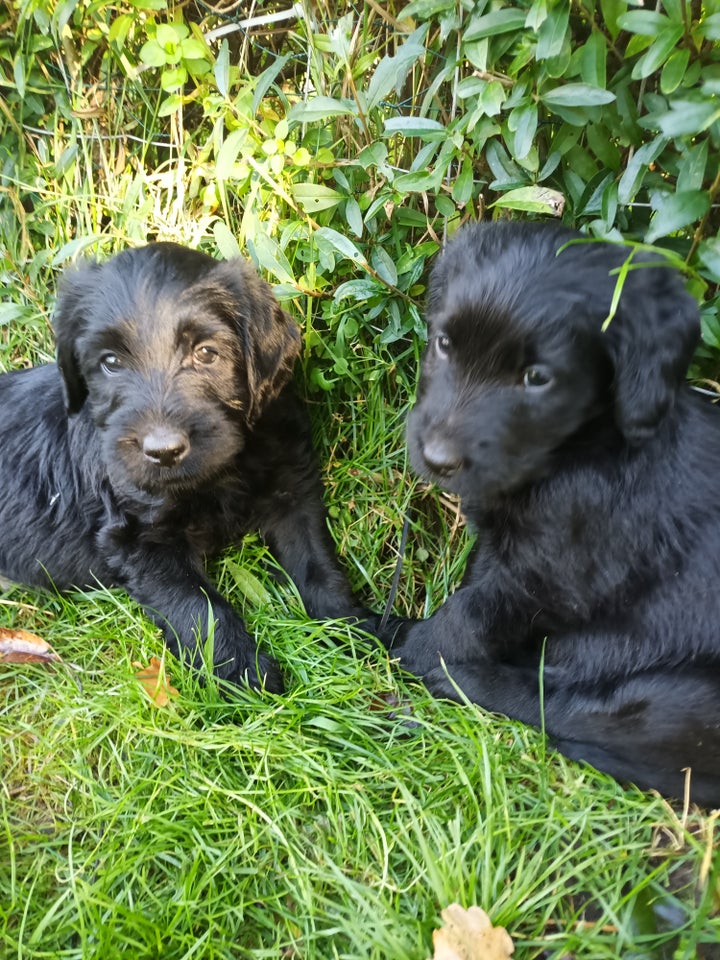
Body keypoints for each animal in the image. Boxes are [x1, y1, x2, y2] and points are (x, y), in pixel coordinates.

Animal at [1, 240, 366, 688]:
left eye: (206, 352)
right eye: (110, 362)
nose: (163, 451)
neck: (220, 473)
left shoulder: (292, 489)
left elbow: (318, 565)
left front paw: (363, 630)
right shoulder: (139, 541)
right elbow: (201, 610)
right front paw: (247, 675)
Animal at [388, 223, 720, 804]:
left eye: (537, 378)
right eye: (445, 343)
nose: (437, 458)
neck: (579, 450)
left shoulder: (547, 576)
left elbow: (469, 614)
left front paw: (418, 646)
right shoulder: (501, 549)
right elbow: (474, 584)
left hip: (683, 697)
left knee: (571, 709)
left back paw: (463, 679)